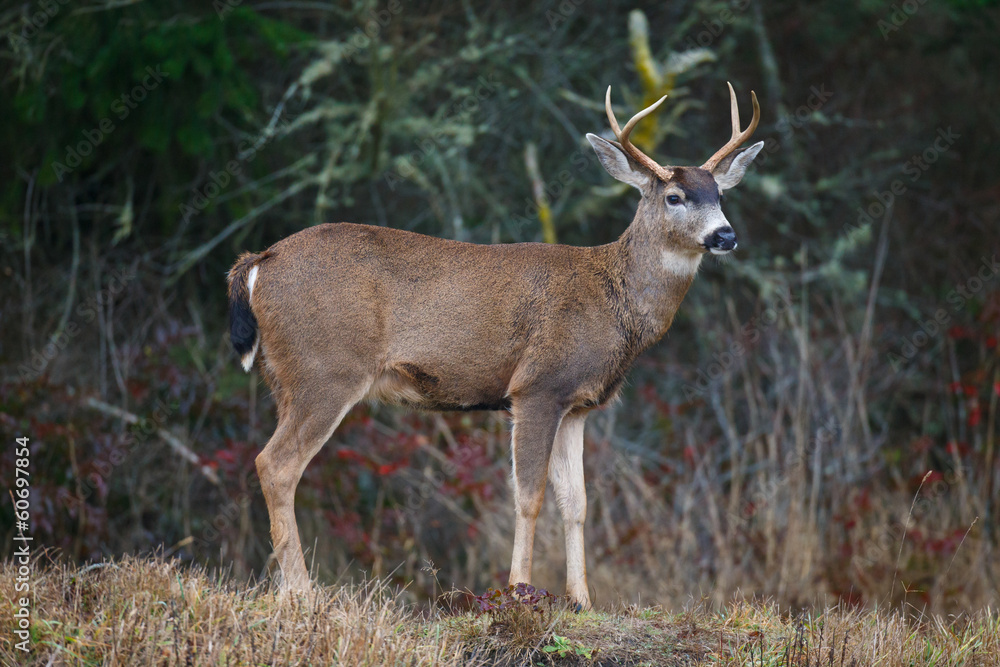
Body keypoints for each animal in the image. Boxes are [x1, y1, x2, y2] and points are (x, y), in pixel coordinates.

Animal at [227, 83, 762, 610]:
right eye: (674, 196)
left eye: (719, 193)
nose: (726, 234)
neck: (613, 298)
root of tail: (257, 264)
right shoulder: (537, 386)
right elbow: (529, 496)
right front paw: (519, 591)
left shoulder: (578, 406)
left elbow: (577, 502)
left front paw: (582, 600)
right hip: (326, 370)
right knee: (276, 465)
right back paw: (302, 594)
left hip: (285, 379)